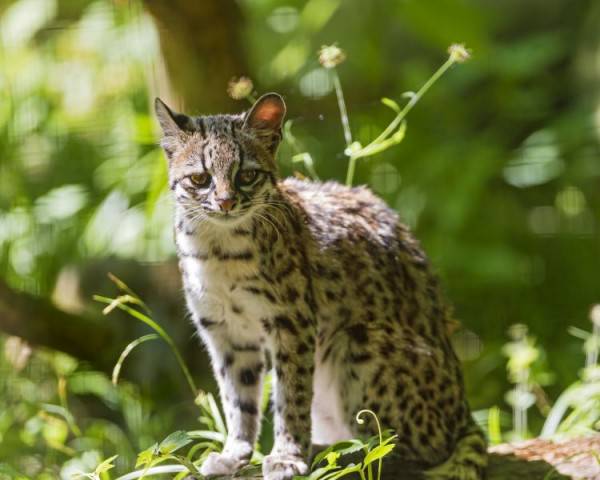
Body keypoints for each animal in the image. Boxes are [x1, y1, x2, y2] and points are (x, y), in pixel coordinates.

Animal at [155, 92, 488, 478]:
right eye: (199, 178)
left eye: (247, 175)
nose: (225, 202)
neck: (217, 247)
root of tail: (465, 412)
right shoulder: (224, 332)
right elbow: (238, 398)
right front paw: (235, 453)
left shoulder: (293, 322)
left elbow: (292, 395)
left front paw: (288, 454)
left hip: (360, 340)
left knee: (405, 449)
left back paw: (334, 449)